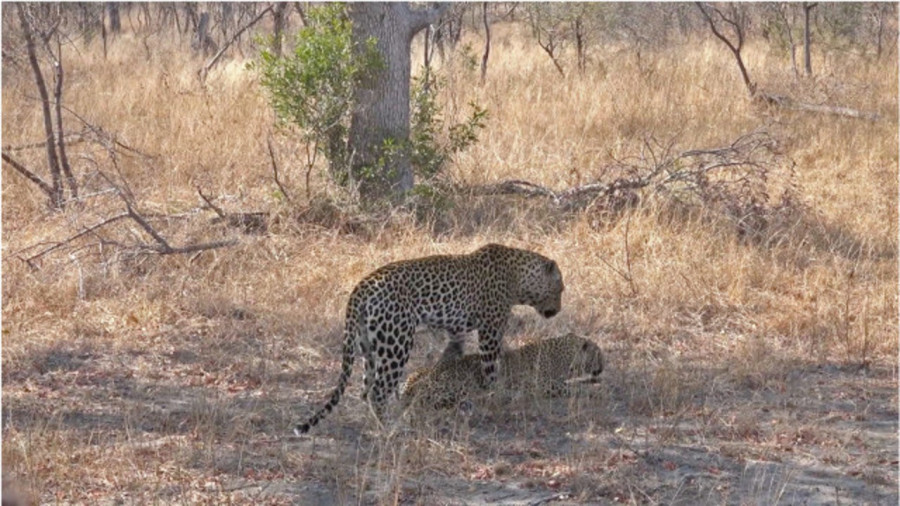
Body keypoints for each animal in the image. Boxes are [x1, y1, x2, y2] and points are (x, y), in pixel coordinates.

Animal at [296, 243, 564, 432]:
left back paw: (373, 422)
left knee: (366, 388)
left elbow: (449, 358)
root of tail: (360, 287)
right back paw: (392, 428)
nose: (558, 310)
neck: (518, 277)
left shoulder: (457, 332)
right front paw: (493, 395)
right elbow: (490, 366)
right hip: (397, 343)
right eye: (560, 289)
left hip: (368, 346)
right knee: (378, 390)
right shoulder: (490, 329)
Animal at [400, 332, 604, 412]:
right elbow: (572, 388)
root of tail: (410, 385)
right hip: (463, 385)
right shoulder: (542, 385)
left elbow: (575, 383)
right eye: (598, 354)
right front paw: (592, 391)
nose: (604, 366)